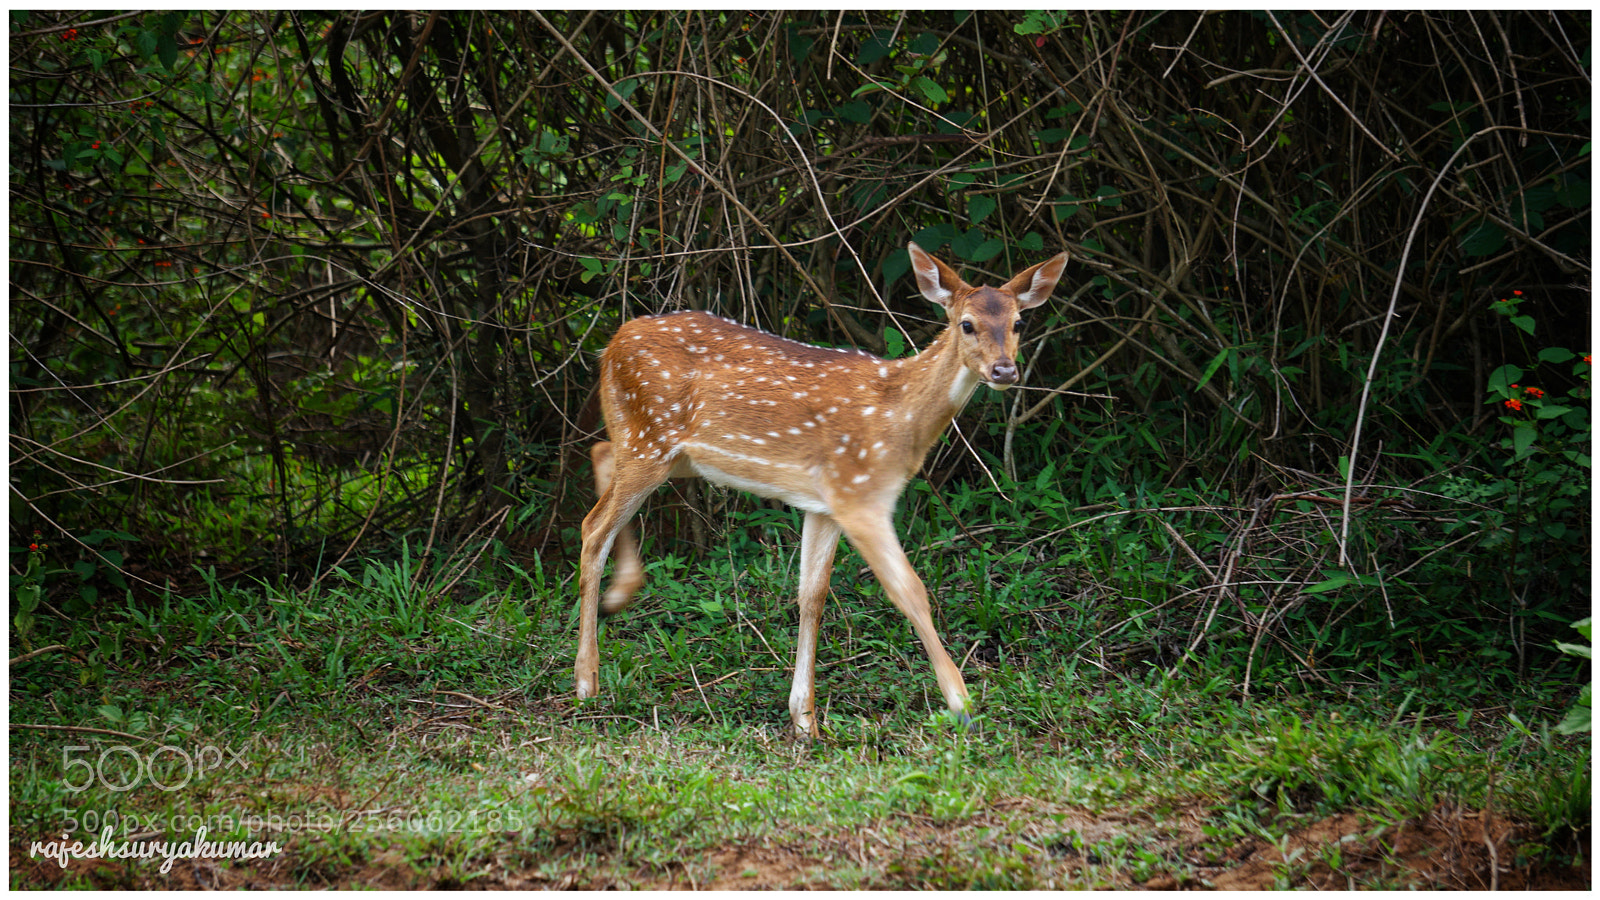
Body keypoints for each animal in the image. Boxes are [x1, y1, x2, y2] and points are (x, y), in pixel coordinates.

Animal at [576, 241, 1068, 737]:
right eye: (966, 324)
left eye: (1019, 323)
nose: (1004, 369)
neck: (898, 419)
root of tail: (611, 344)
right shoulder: (860, 496)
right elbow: (909, 592)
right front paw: (961, 705)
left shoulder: (825, 503)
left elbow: (812, 596)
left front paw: (805, 720)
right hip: (650, 438)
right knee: (593, 526)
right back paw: (586, 679)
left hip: (670, 454)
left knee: (599, 454)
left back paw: (619, 597)